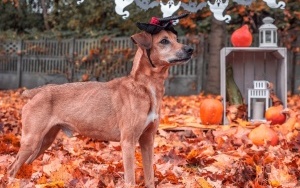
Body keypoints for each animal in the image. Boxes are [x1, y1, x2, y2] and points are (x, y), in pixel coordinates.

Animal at [8, 25, 193, 187]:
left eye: (176, 39)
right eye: (164, 41)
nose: (190, 49)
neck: (145, 87)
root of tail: (37, 92)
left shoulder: (147, 140)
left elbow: (150, 178)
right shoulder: (128, 142)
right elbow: (130, 180)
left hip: (45, 140)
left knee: (25, 164)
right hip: (31, 140)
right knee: (12, 168)